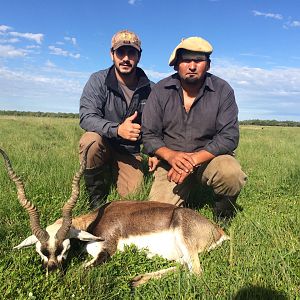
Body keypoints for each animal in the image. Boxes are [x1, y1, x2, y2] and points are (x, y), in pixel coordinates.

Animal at [0, 146, 230, 288]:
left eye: (65, 247)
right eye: (40, 250)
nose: (54, 274)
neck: (94, 223)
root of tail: (219, 231)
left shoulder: (106, 251)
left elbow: (78, 271)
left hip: (185, 237)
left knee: (196, 273)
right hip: (181, 253)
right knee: (184, 266)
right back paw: (135, 279)